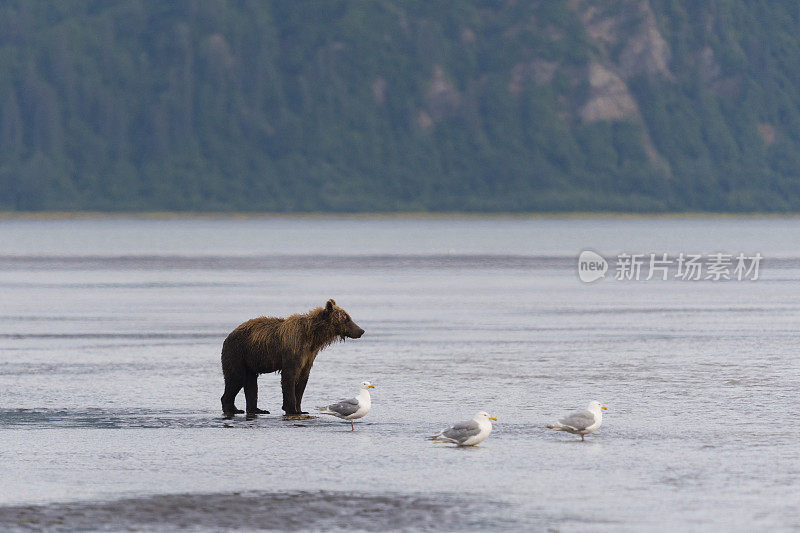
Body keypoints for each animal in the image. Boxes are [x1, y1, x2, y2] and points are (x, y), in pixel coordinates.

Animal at [222, 300, 366, 416]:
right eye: (346, 318)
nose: (361, 330)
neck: (313, 337)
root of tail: (229, 335)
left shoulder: (309, 356)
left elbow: (303, 379)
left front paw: (300, 409)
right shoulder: (294, 350)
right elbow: (290, 376)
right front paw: (291, 409)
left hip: (250, 359)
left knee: (251, 382)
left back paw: (257, 410)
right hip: (237, 353)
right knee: (236, 378)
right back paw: (233, 409)